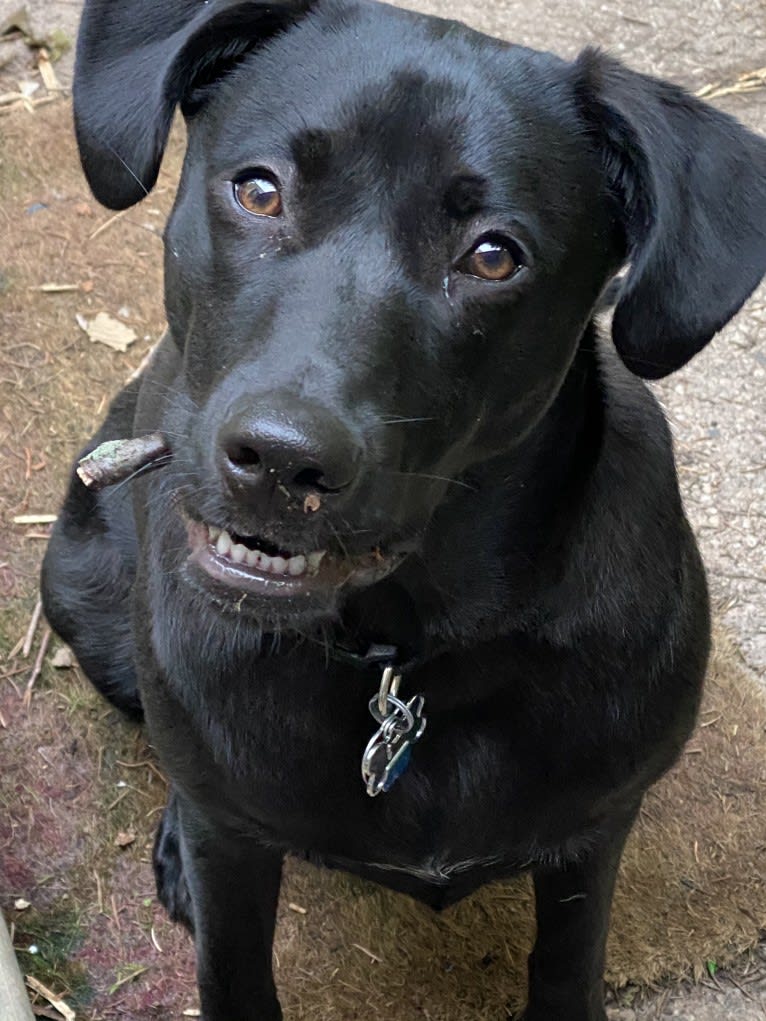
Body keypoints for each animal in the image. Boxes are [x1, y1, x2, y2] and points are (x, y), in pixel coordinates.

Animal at [43, 3, 766, 1016]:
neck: (409, 655)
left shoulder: (594, 833)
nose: (282, 459)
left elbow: (567, 963)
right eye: (259, 191)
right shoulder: (234, 851)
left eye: (494, 256)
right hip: (81, 593)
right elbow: (232, 953)